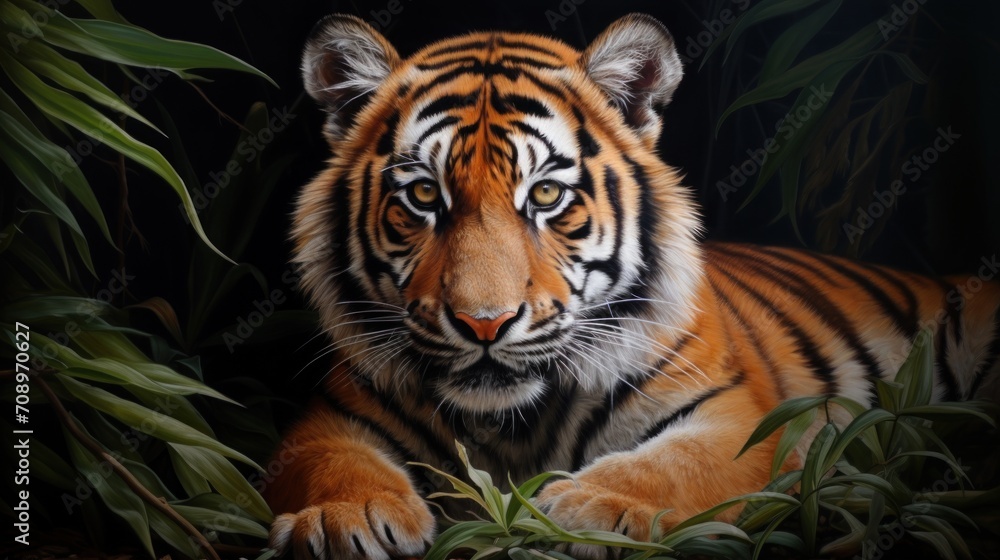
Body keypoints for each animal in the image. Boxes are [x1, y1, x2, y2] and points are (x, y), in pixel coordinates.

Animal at [264, 12, 1000, 560]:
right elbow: (327, 460)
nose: (484, 324)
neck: (513, 425)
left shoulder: (740, 415)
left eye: (548, 195)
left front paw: (578, 505)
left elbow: (673, 466)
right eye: (422, 196)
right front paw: (345, 516)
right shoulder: (332, 414)